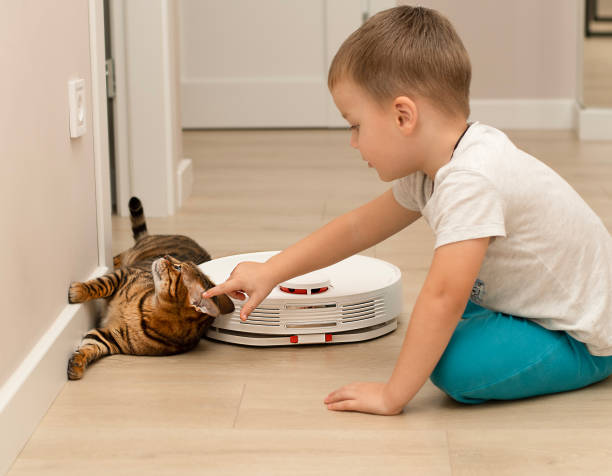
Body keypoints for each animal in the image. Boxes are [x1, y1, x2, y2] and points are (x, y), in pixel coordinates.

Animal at [66, 196, 234, 380]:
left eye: (178, 268)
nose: (166, 255)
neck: (150, 309)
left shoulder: (110, 338)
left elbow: (90, 345)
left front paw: (77, 363)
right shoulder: (125, 275)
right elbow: (101, 284)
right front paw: (79, 291)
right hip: (132, 255)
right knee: (118, 257)